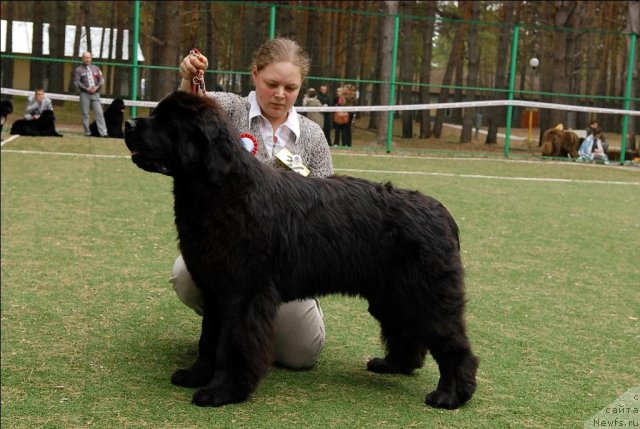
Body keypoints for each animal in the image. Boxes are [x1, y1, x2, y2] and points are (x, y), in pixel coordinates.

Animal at [122, 91, 478, 408]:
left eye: (165, 121)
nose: (127, 122)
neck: (221, 190)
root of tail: (443, 214)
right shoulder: (214, 290)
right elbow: (208, 339)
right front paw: (196, 375)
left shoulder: (242, 294)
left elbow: (230, 344)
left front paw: (222, 391)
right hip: (392, 295)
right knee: (407, 332)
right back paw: (393, 365)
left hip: (425, 294)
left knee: (454, 344)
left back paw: (449, 396)